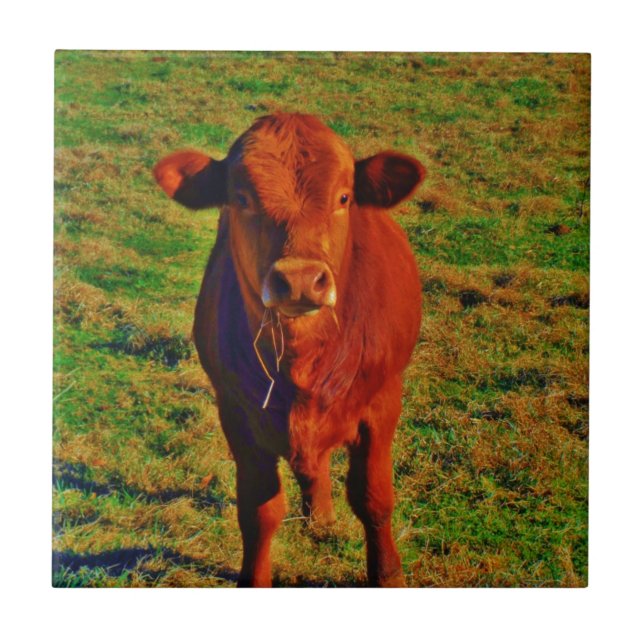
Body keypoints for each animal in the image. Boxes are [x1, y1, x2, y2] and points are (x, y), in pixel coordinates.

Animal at [154, 113, 425, 587]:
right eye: (241, 198)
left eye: (344, 196)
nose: (299, 279)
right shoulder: (237, 415)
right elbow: (259, 511)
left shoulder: (383, 404)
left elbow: (374, 499)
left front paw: (388, 574)